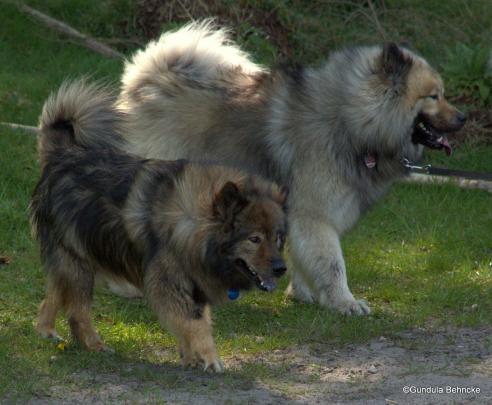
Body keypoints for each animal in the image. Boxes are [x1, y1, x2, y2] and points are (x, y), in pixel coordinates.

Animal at [118, 20, 466, 314]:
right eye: (433, 96)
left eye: (442, 94)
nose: (463, 118)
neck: (349, 121)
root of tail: (145, 81)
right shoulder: (315, 215)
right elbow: (332, 264)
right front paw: (345, 302)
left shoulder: (299, 215)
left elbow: (302, 258)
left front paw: (304, 294)